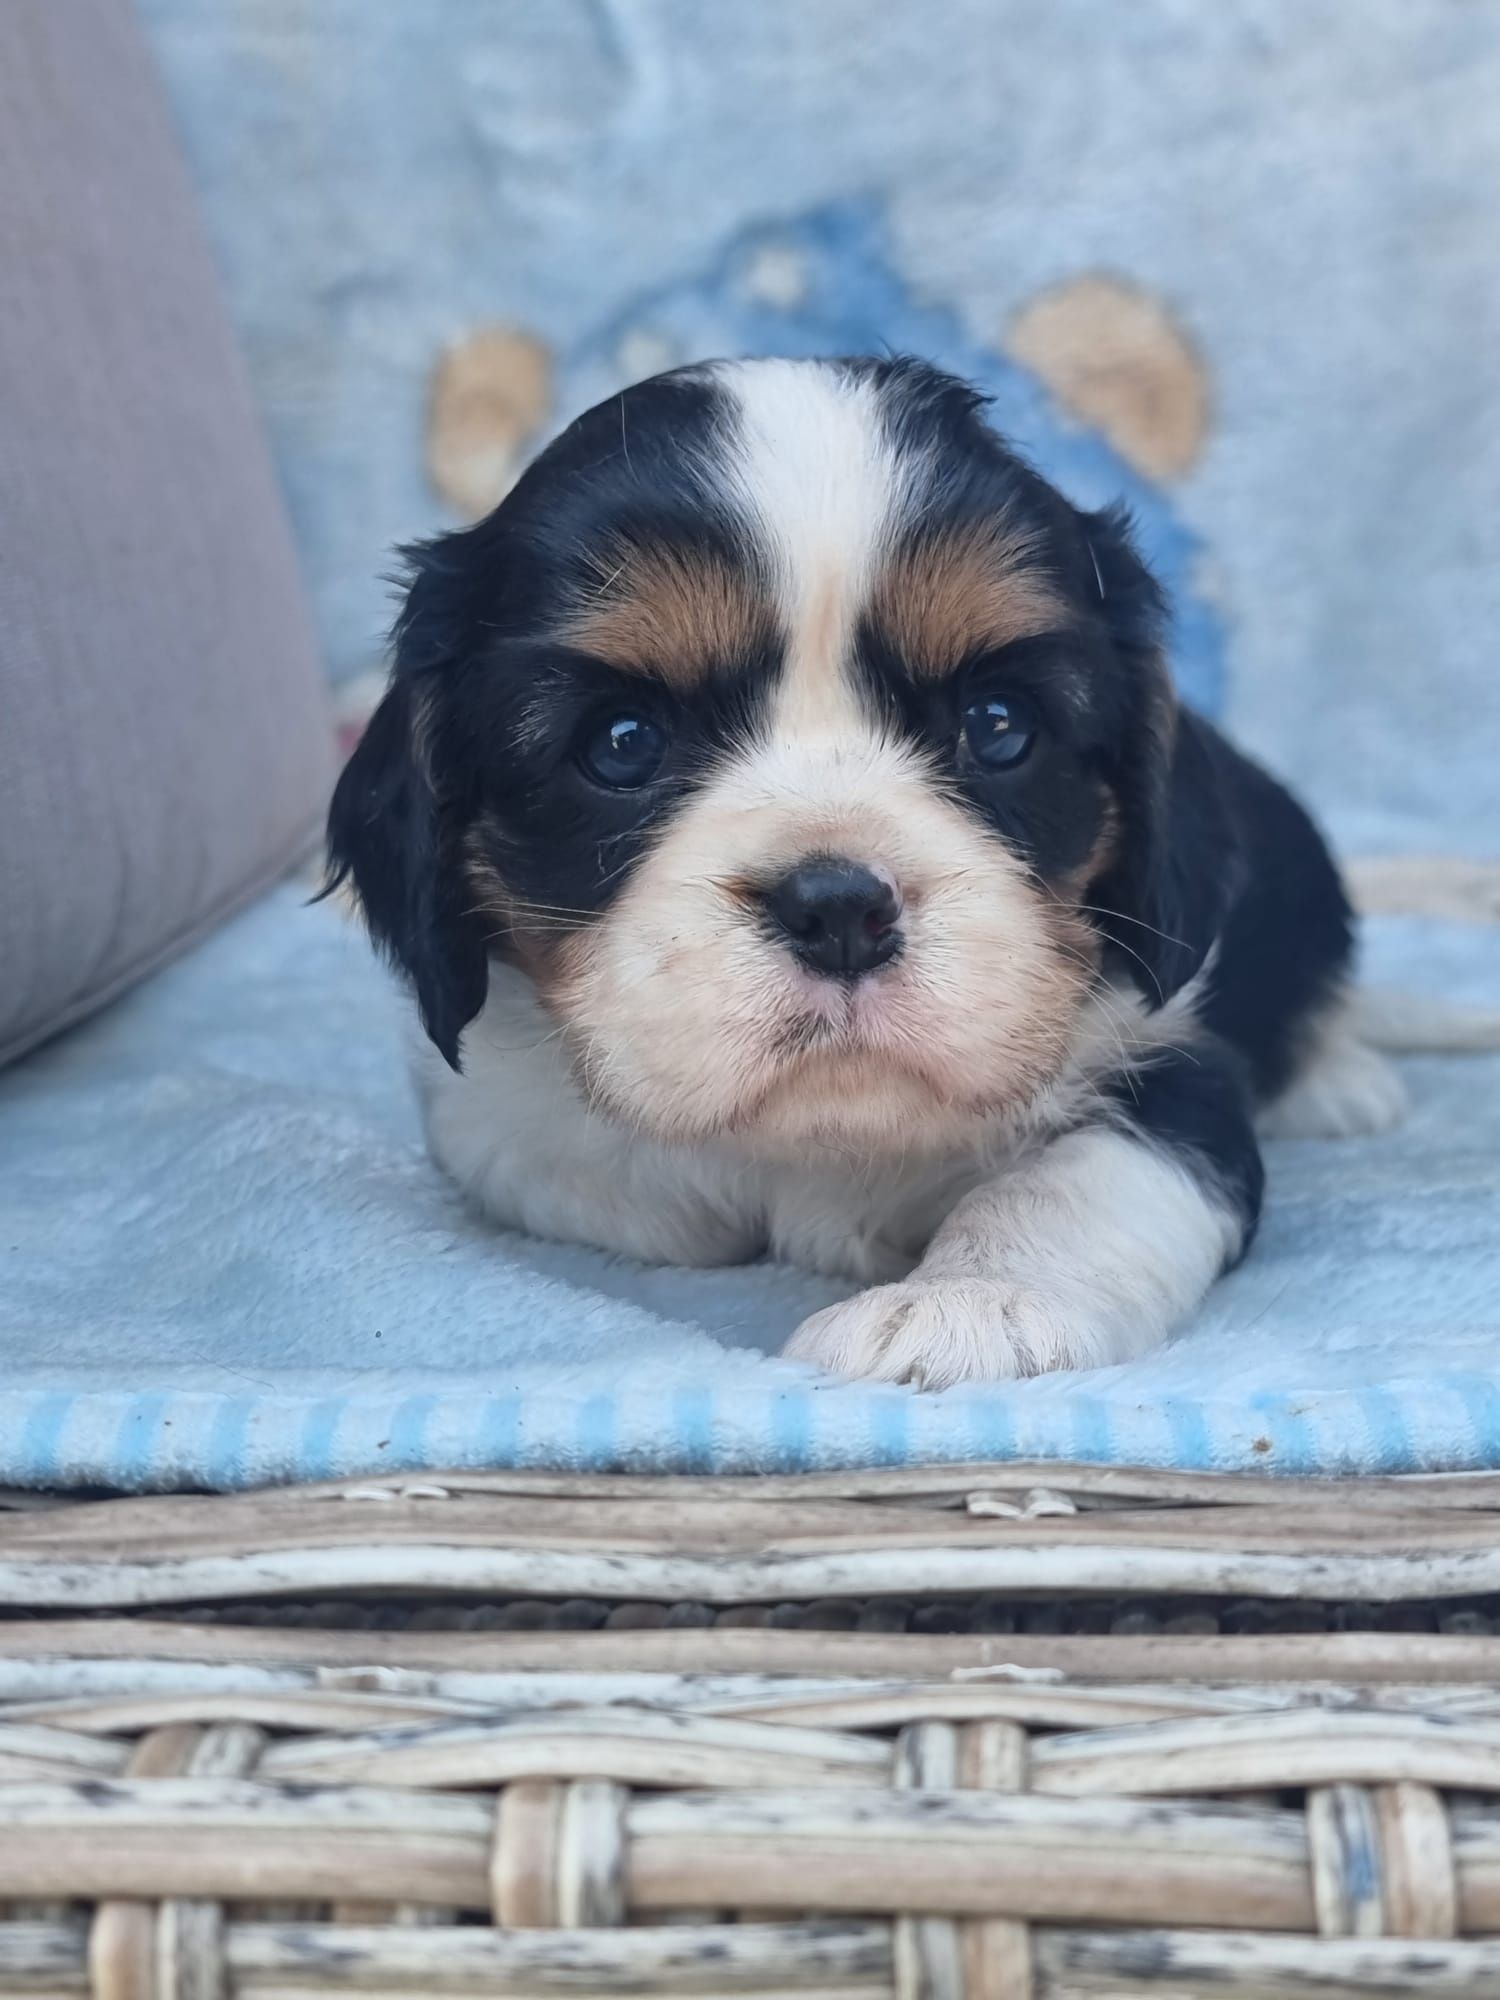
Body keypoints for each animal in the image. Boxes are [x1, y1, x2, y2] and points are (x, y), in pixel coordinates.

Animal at [328, 360, 1408, 1384]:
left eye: (1000, 725)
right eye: (622, 744)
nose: (839, 909)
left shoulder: (1172, 1067)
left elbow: (1075, 1180)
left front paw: (969, 1303)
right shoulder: (486, 1117)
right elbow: (568, 1168)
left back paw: (1341, 1085)